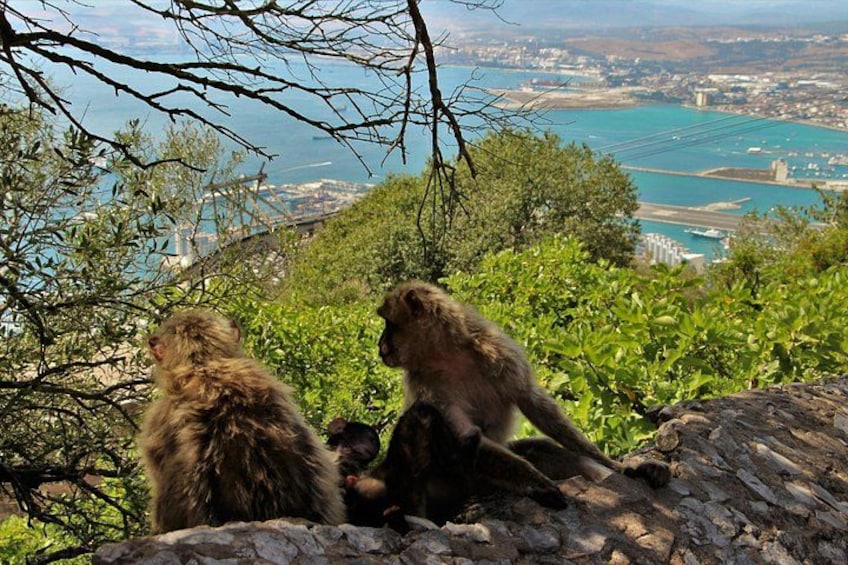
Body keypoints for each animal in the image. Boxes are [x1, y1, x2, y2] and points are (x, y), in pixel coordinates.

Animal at [376, 281, 671, 498]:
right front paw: (540, 483)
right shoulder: (425, 386)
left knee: (543, 449)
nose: (380, 346)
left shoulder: (498, 352)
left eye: (389, 324)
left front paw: (617, 465)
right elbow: (462, 435)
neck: (445, 357)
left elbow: (532, 402)